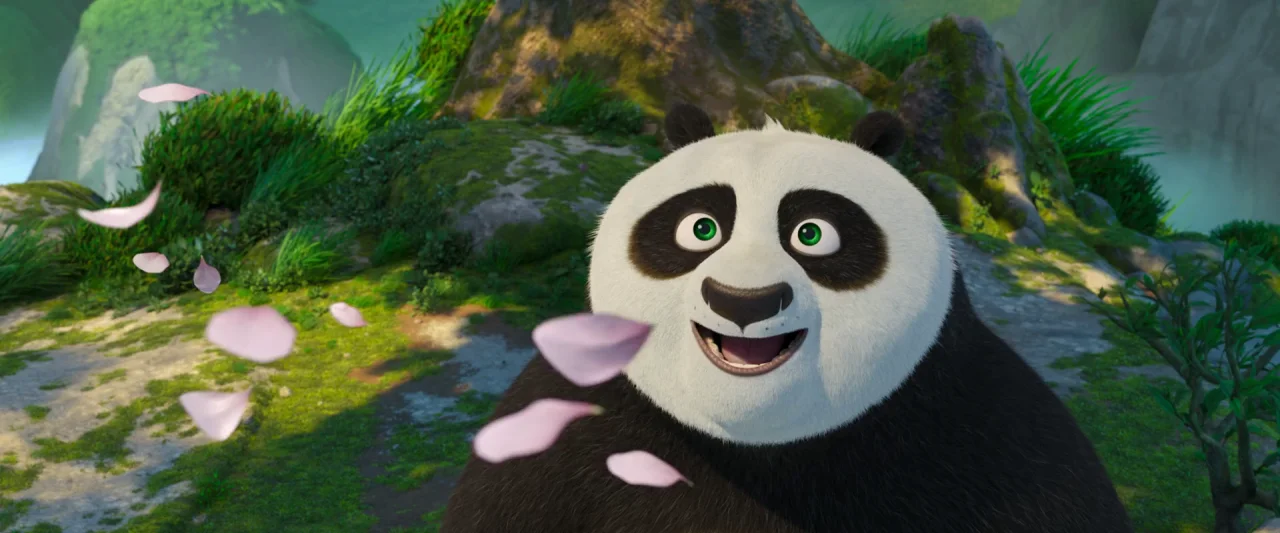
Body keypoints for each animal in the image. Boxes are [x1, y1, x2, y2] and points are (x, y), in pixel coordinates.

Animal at [439, 104, 1133, 533]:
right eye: (701, 228)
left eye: (813, 234)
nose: (742, 301)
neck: (759, 444)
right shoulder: (569, 420)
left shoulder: (988, 430)